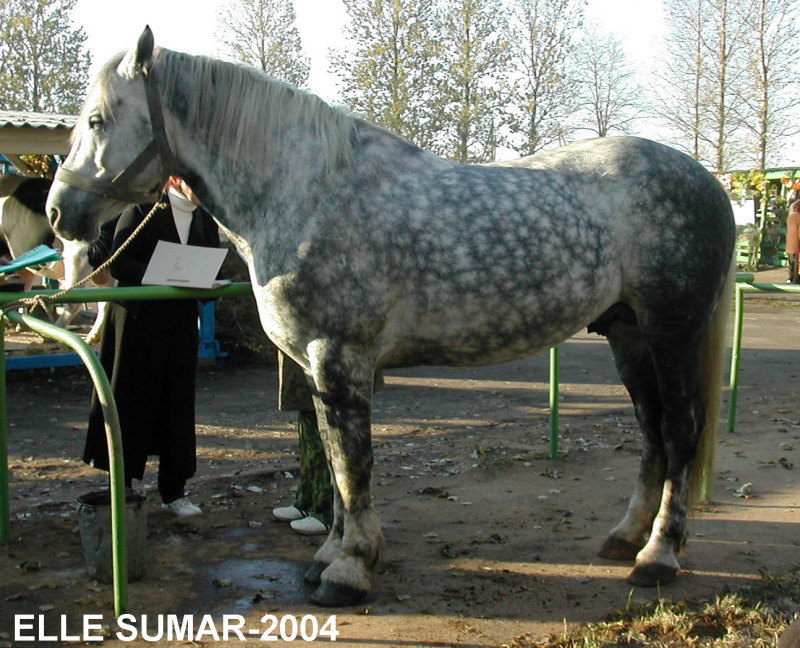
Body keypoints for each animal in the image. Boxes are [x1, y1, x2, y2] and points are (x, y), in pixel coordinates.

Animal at [42, 27, 732, 608]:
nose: (57, 212)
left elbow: (352, 463)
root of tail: (710, 181)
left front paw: (348, 570)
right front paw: (330, 556)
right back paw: (625, 537)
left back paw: (658, 557)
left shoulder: (338, 356)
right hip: (626, 332)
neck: (307, 192)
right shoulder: (316, 366)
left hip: (671, 328)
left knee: (679, 430)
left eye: (98, 120)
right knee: (651, 430)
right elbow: (332, 456)